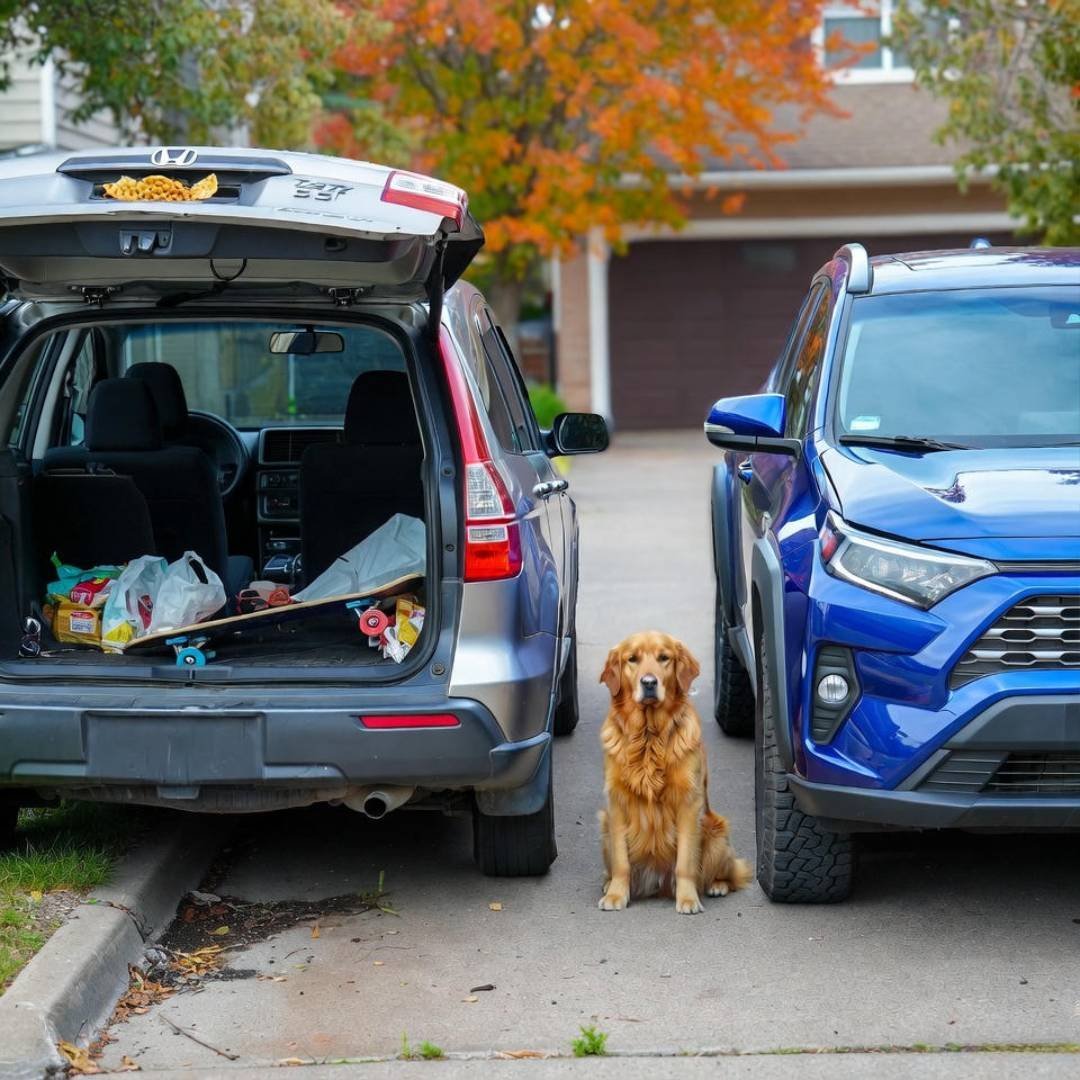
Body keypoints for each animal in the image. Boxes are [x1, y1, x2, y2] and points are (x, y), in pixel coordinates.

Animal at [597, 631, 752, 914]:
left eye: (663, 658)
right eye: (632, 659)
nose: (649, 682)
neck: (648, 736)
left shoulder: (688, 803)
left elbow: (685, 863)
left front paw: (688, 899)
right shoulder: (616, 802)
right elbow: (622, 862)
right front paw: (616, 894)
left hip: (716, 831)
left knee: (729, 873)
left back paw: (717, 885)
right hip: (604, 823)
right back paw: (607, 882)